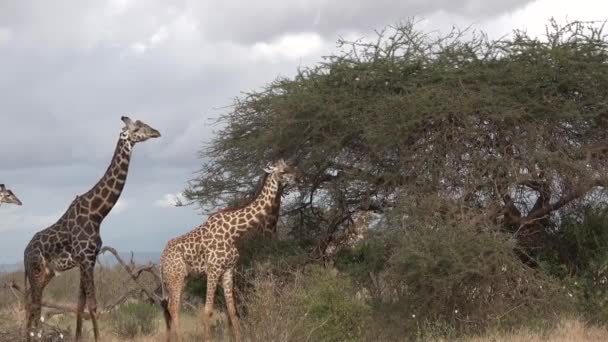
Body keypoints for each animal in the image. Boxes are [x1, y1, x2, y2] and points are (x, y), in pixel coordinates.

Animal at [22, 116, 160, 340]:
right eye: (138, 127)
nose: (156, 132)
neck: (97, 213)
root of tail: (24, 252)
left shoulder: (88, 259)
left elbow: (80, 305)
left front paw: (78, 337)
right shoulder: (86, 259)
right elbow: (93, 306)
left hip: (46, 274)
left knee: (33, 306)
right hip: (36, 271)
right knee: (33, 305)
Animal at [158, 160, 298, 342]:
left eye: (290, 166)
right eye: (282, 171)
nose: (299, 178)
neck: (233, 232)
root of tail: (161, 260)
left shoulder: (228, 269)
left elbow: (233, 312)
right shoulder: (213, 269)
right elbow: (208, 311)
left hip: (182, 277)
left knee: (172, 308)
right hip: (176, 276)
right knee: (173, 308)